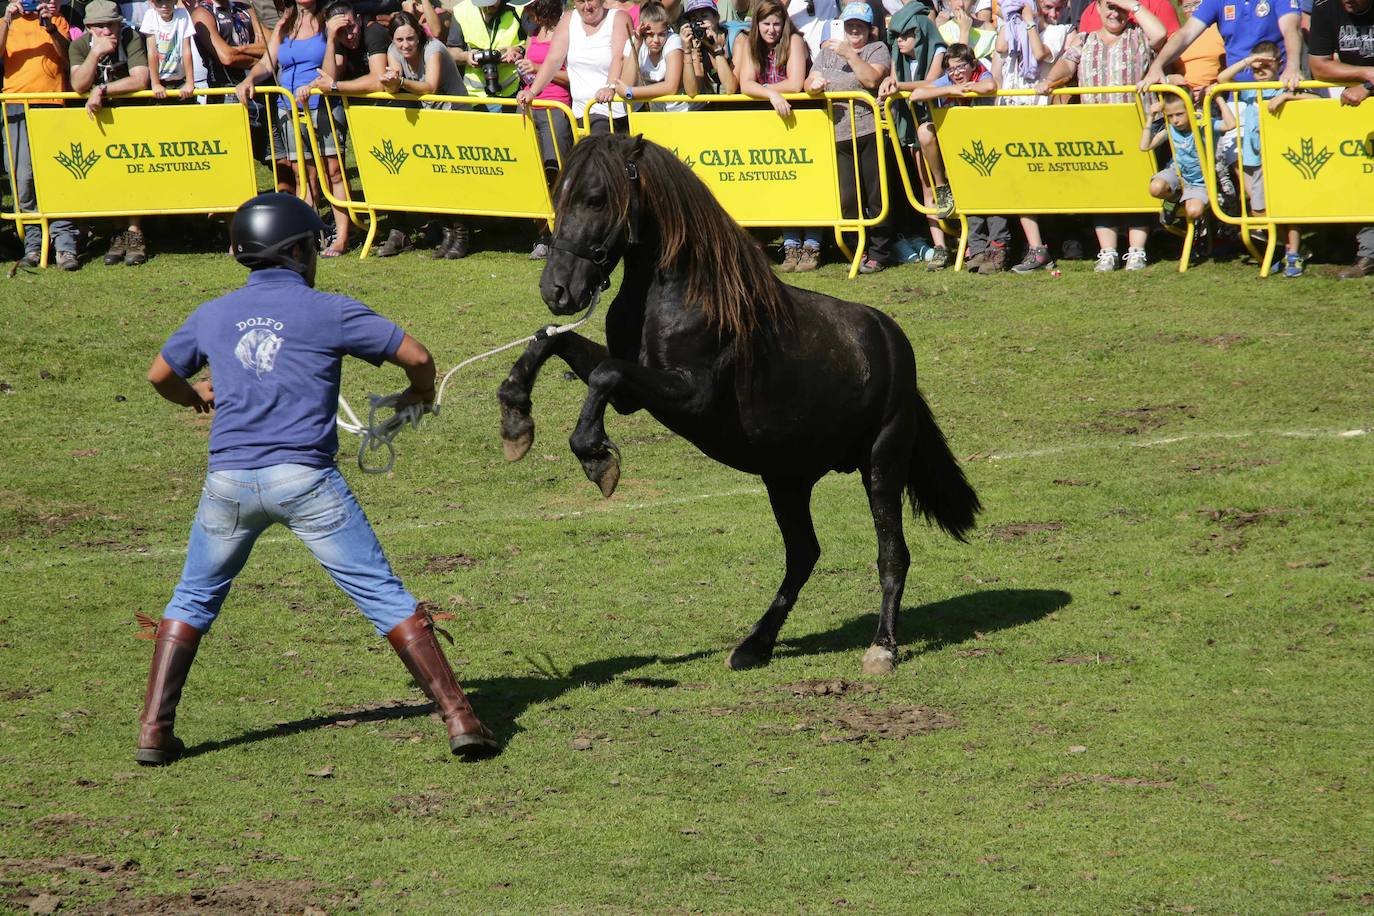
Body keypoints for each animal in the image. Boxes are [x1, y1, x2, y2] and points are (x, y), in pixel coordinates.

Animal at [494, 132, 978, 672]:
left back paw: (882, 647)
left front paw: (597, 458)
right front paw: (515, 418)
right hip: (787, 479)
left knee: (892, 554)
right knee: (804, 554)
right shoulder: (630, 396)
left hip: (882, 464)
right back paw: (754, 645)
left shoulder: (690, 396)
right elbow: (550, 340)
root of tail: (893, 342)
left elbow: (602, 373)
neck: (684, 293)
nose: (557, 290)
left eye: (596, 199)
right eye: (558, 196)